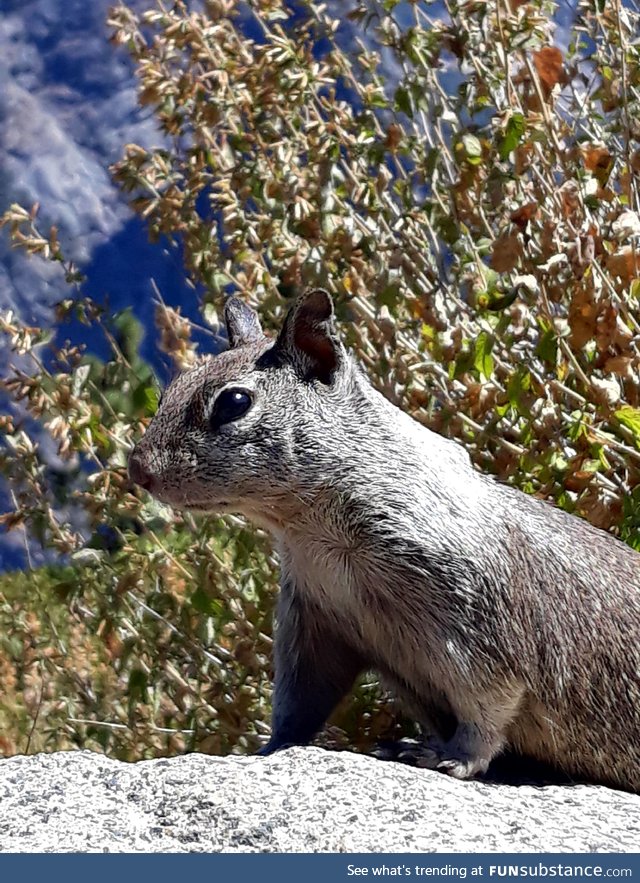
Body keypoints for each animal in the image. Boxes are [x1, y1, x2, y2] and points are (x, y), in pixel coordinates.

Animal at [126, 290, 640, 796]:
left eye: (233, 402)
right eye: (173, 387)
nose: (138, 469)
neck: (311, 534)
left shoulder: (479, 634)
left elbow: (487, 711)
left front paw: (449, 757)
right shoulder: (314, 623)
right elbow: (299, 703)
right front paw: (265, 750)